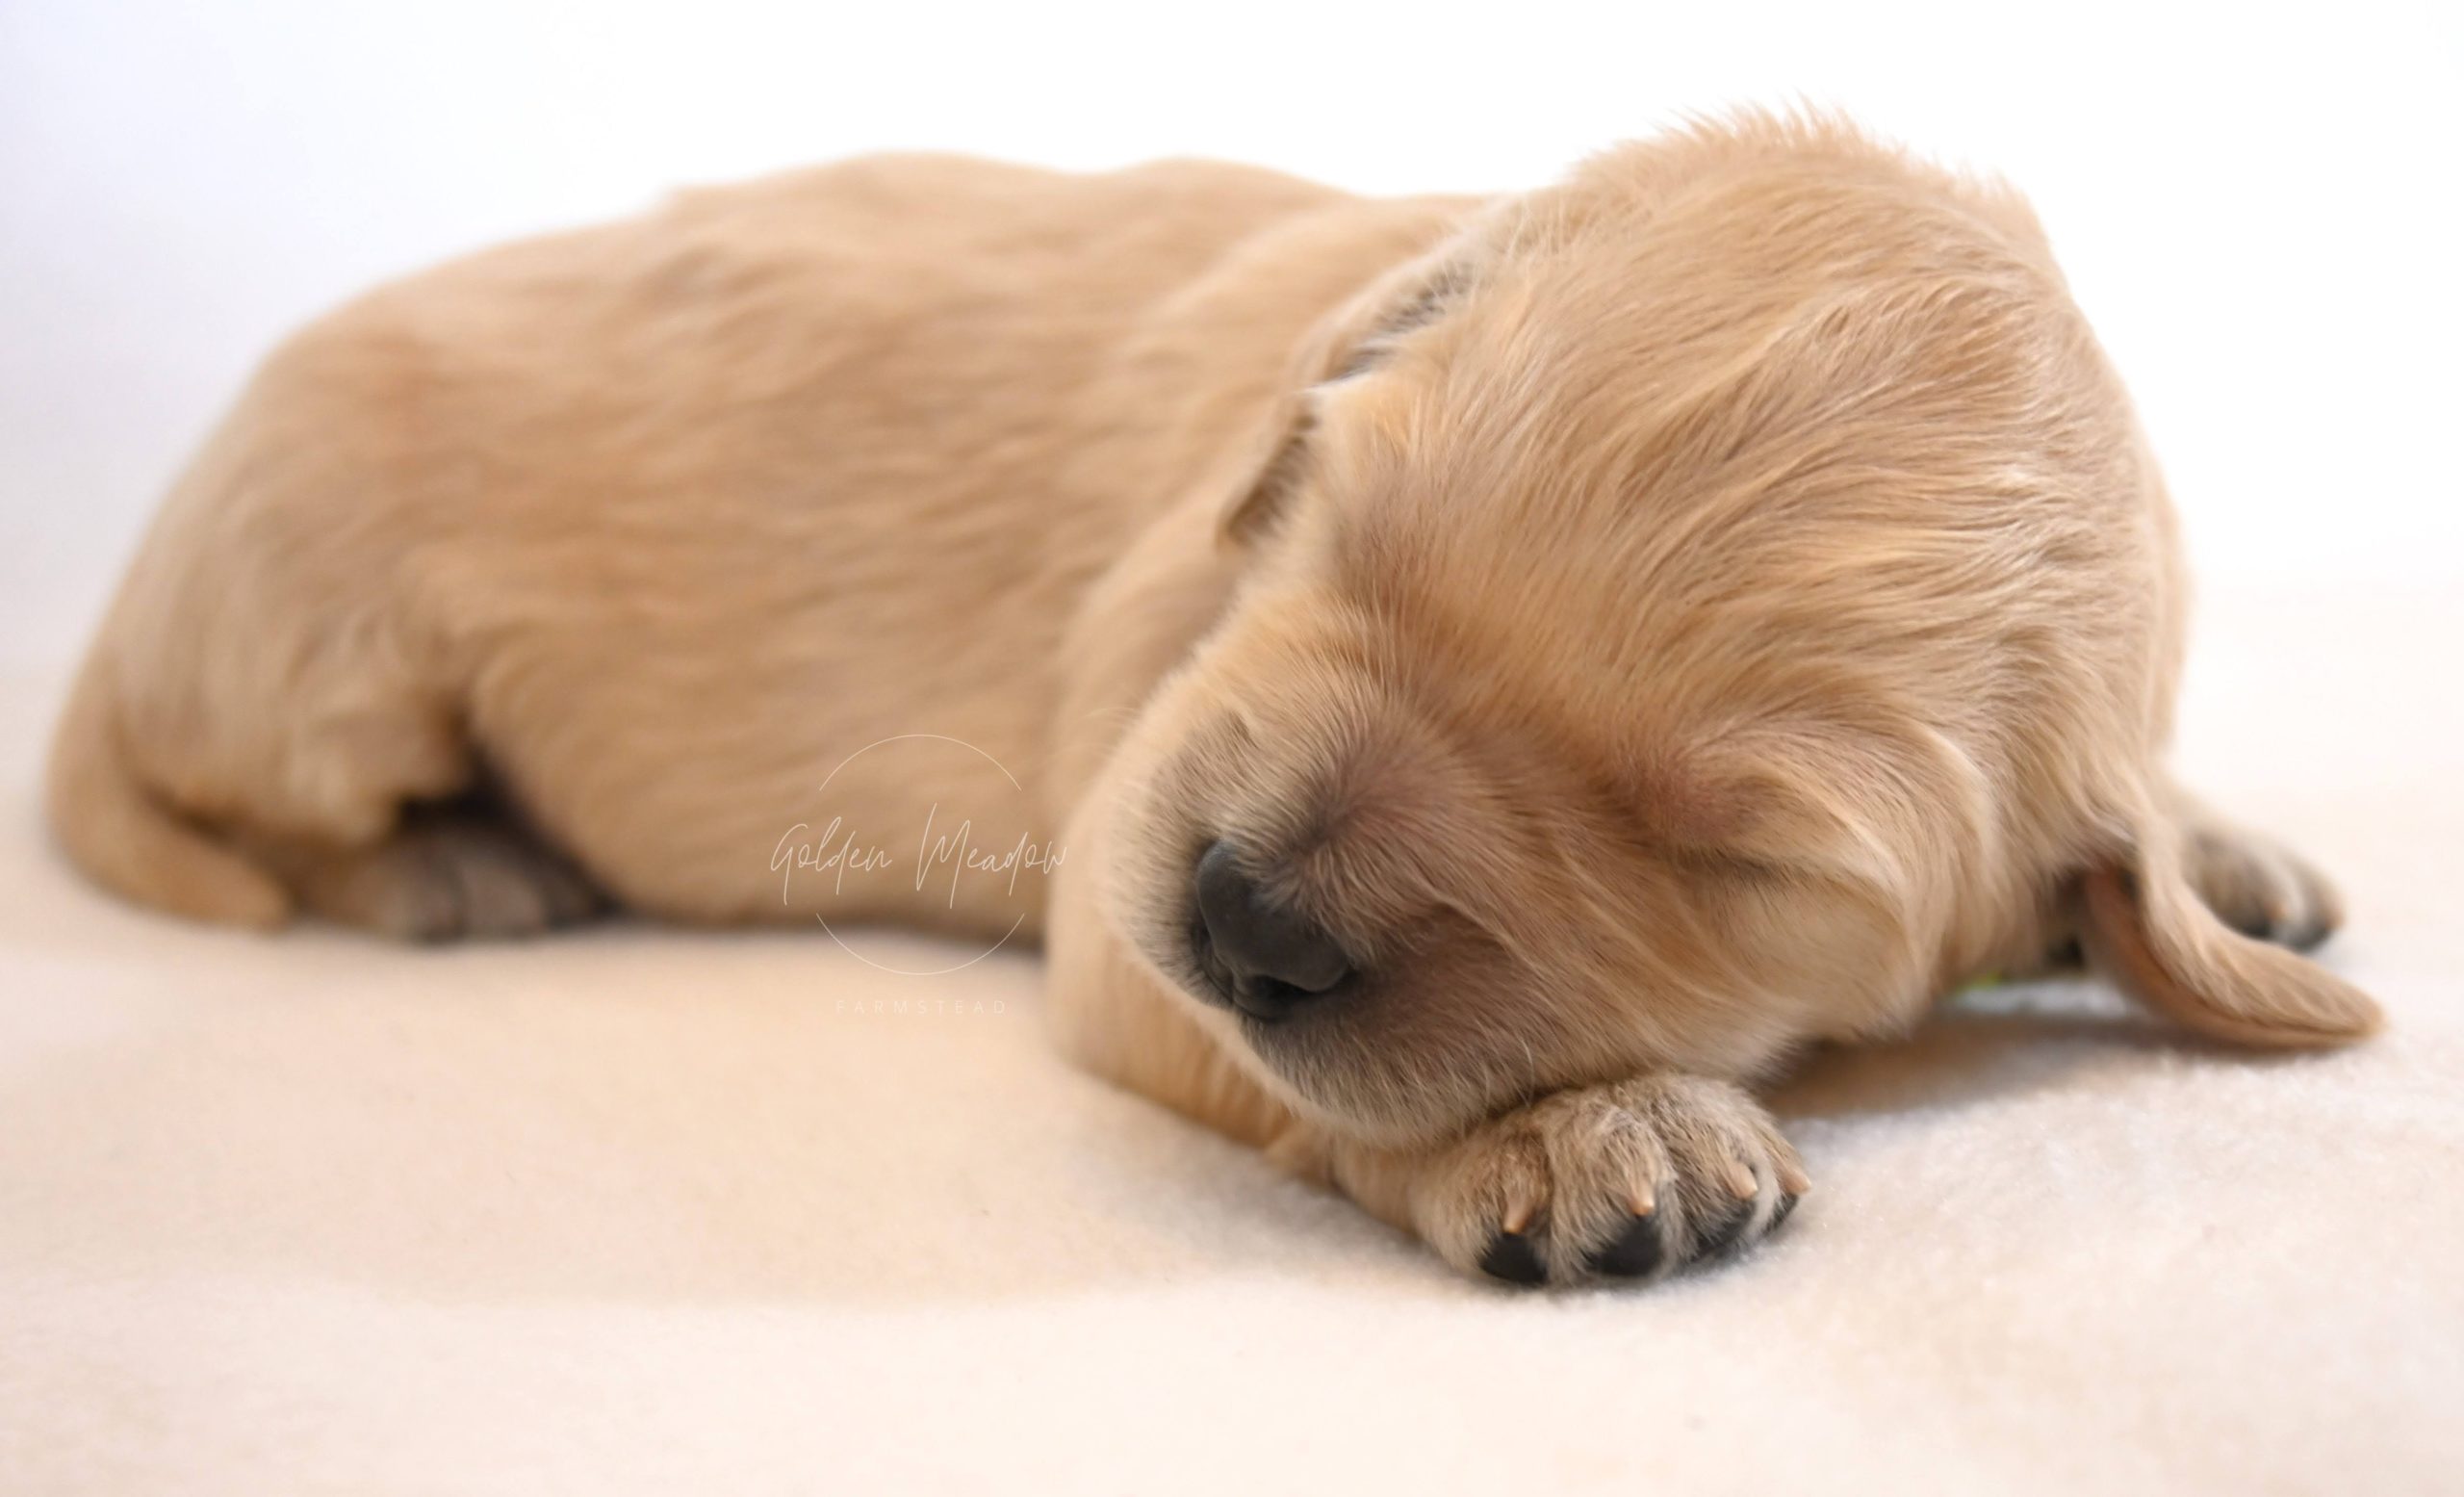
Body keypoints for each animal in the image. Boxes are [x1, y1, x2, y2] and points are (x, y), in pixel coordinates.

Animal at [47, 116, 2374, 1292]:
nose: (1245, 918)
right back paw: (461, 865)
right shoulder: (1121, 850)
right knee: (271, 816)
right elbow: (1305, 1080)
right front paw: (1572, 1136)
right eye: (1347, 520)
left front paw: (2226, 852)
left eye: (1730, 854)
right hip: (323, 656)